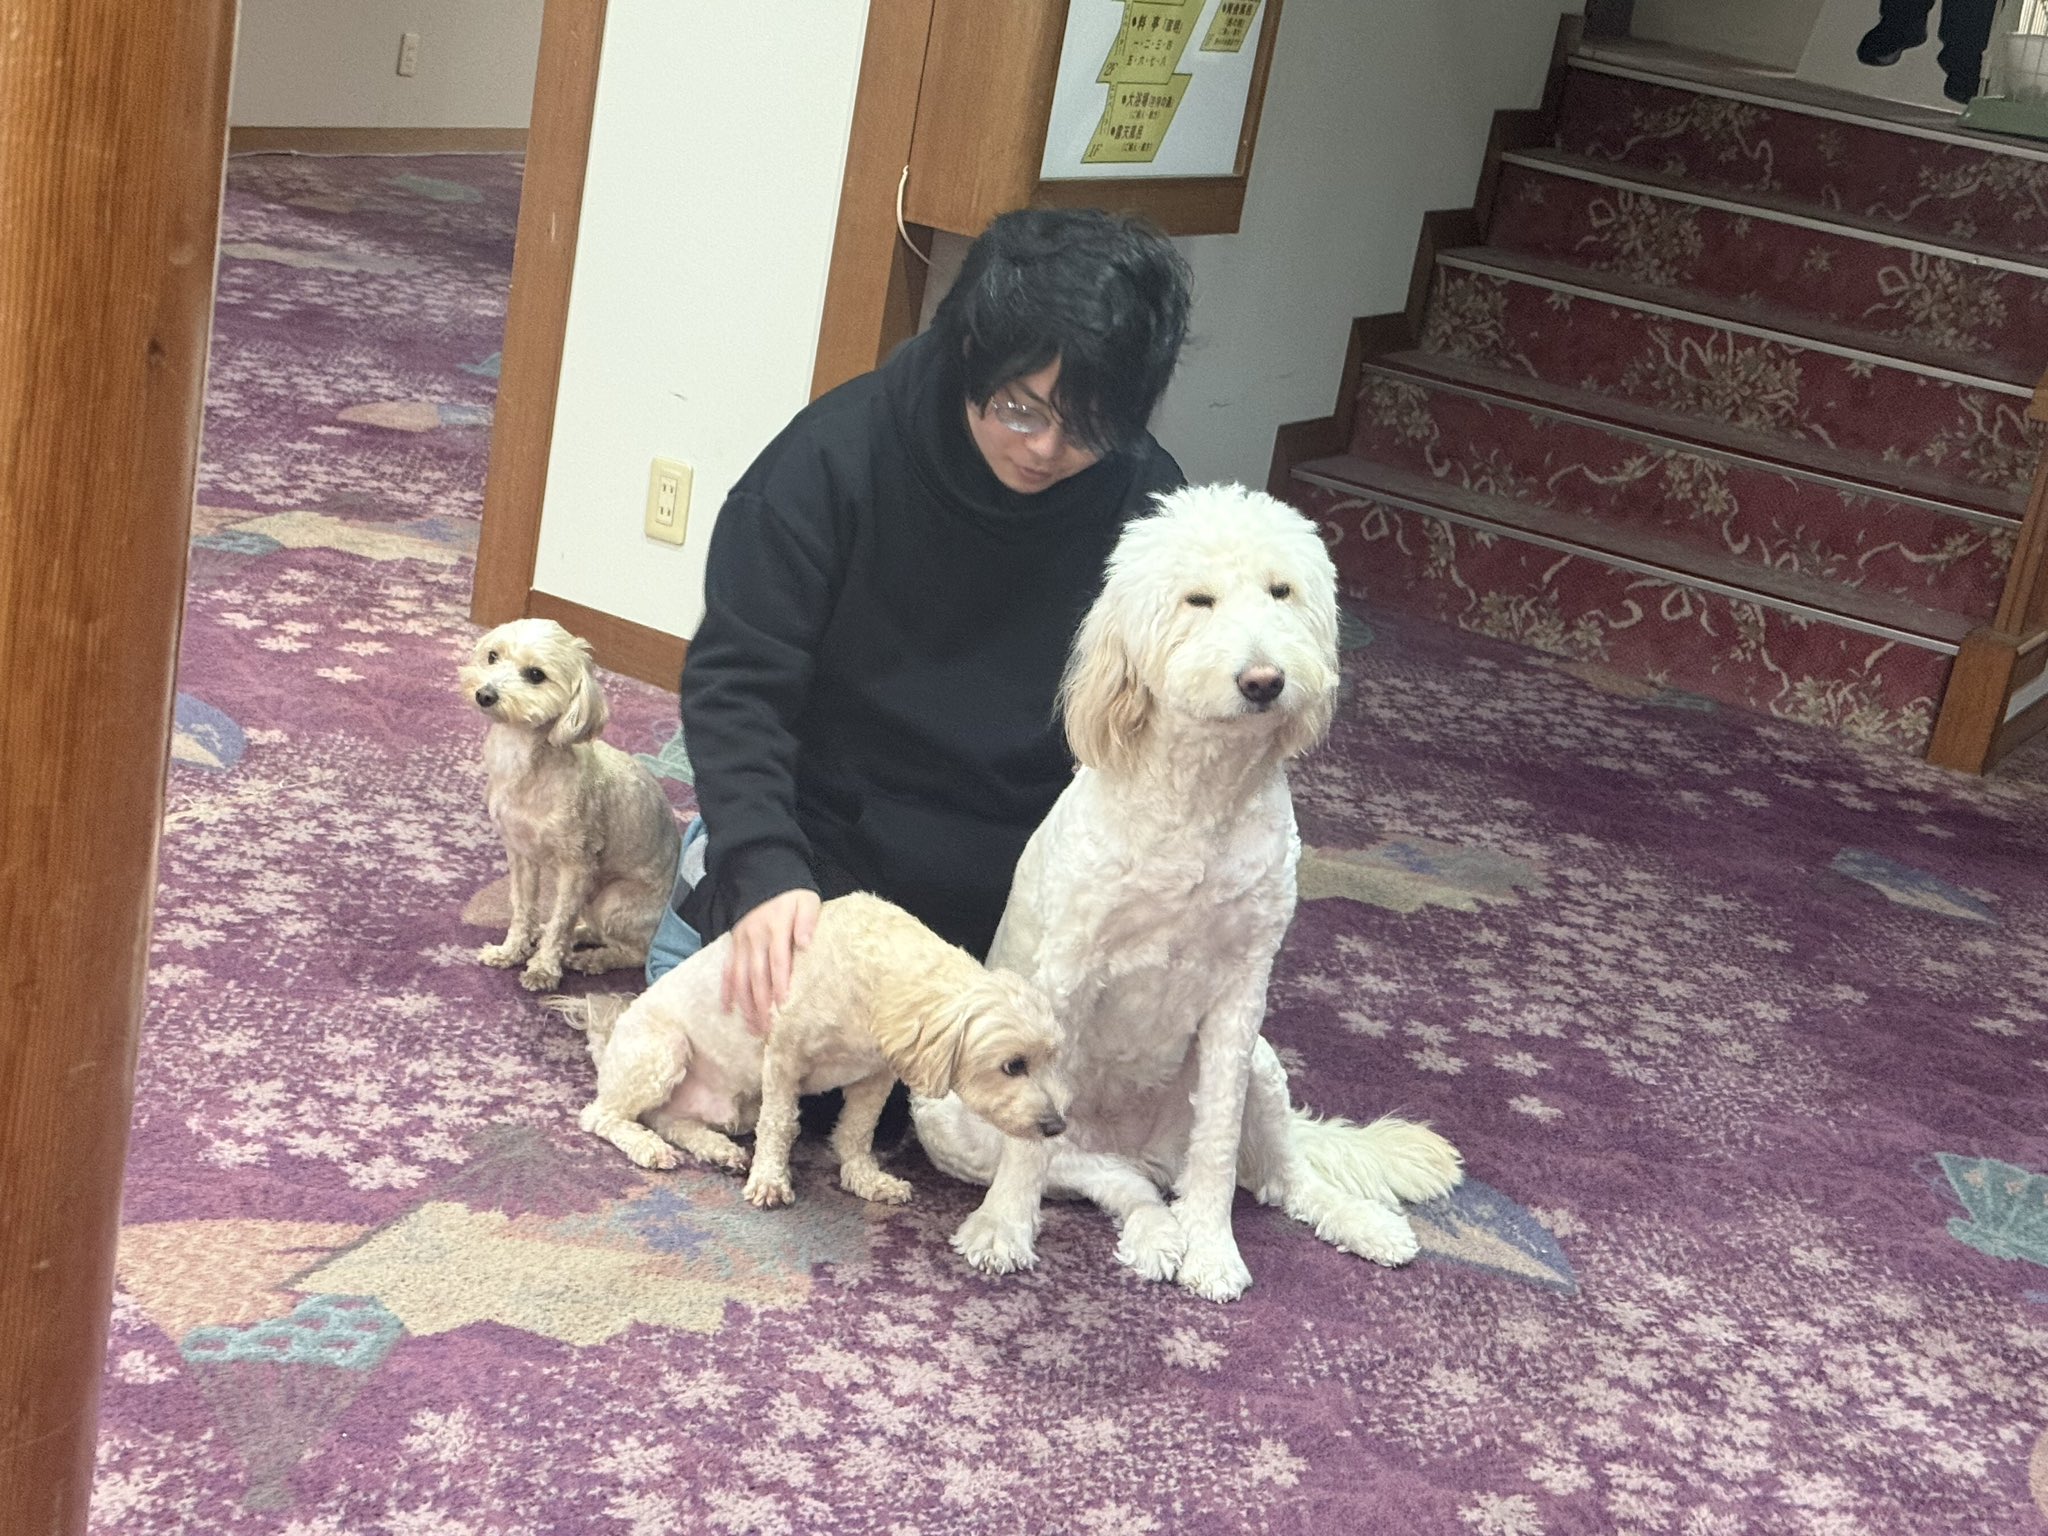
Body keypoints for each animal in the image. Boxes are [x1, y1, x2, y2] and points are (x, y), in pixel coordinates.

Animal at [461, 617, 681, 992]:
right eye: (492, 656)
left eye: (536, 675)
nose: (485, 694)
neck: (525, 760)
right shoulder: (520, 854)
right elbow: (523, 907)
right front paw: (511, 951)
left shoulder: (577, 866)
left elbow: (561, 918)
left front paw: (543, 969)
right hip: (594, 897)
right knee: (590, 927)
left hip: (612, 899)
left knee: (635, 952)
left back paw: (593, 959)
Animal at [546, 892, 1071, 1210]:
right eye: (1013, 1065)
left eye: (1054, 1059)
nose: (1056, 1127)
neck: (877, 975)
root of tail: (610, 1043)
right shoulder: (783, 1058)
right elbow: (781, 1125)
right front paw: (771, 1180)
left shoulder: (876, 1075)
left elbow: (858, 1131)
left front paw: (865, 1178)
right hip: (665, 1050)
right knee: (602, 1116)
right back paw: (647, 1147)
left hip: (727, 1103)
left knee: (669, 1119)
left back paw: (718, 1149)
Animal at [911, 483, 1464, 1302]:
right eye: (1197, 600)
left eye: (1281, 591)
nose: (1264, 680)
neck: (1203, 795)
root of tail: (1134, 1144)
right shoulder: (1067, 975)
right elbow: (1030, 1157)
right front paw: (1003, 1226)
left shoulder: (1240, 998)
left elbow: (1219, 1149)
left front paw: (1213, 1249)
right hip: (956, 1121)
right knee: (1107, 1179)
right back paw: (1148, 1234)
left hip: (1262, 1067)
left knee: (1276, 1177)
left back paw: (1352, 1222)